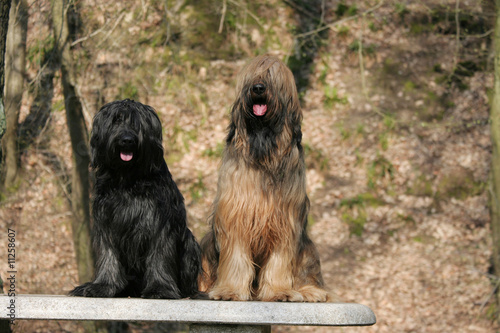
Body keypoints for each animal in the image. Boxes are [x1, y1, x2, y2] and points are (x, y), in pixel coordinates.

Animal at [69, 98, 201, 298]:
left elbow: (159, 254)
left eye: (137, 123)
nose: (127, 140)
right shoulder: (105, 221)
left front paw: (160, 288)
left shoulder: (160, 221)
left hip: (189, 242)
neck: (127, 179)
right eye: (116, 120)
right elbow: (108, 255)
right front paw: (102, 286)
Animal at [199, 54, 328, 300]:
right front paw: (230, 290)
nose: (258, 88)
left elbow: (280, 261)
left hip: (306, 245)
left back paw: (309, 290)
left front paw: (280, 292)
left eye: (271, 75)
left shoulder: (285, 221)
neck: (263, 148)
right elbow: (236, 257)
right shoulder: (235, 216)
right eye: (252, 77)